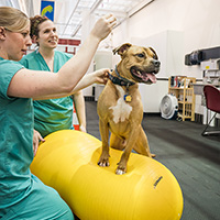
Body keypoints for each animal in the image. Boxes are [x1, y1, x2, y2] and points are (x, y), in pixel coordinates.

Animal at [97, 42, 161, 174]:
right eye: (140, 55)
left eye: (154, 56)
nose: (158, 62)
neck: (125, 85)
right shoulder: (103, 120)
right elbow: (104, 144)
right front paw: (104, 159)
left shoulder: (135, 124)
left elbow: (127, 152)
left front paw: (121, 167)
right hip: (115, 143)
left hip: (142, 144)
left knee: (146, 155)